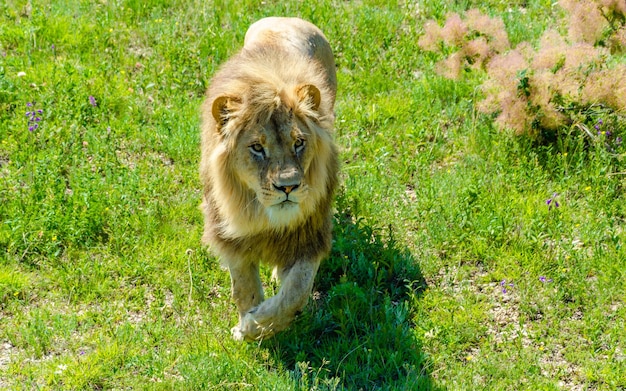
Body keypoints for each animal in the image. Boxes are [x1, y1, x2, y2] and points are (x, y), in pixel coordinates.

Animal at [199, 17, 336, 344]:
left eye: (299, 143)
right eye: (257, 148)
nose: (288, 186)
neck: (265, 218)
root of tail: (286, 19)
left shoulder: (309, 236)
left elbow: (295, 294)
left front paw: (255, 325)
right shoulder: (233, 240)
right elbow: (244, 290)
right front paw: (246, 328)